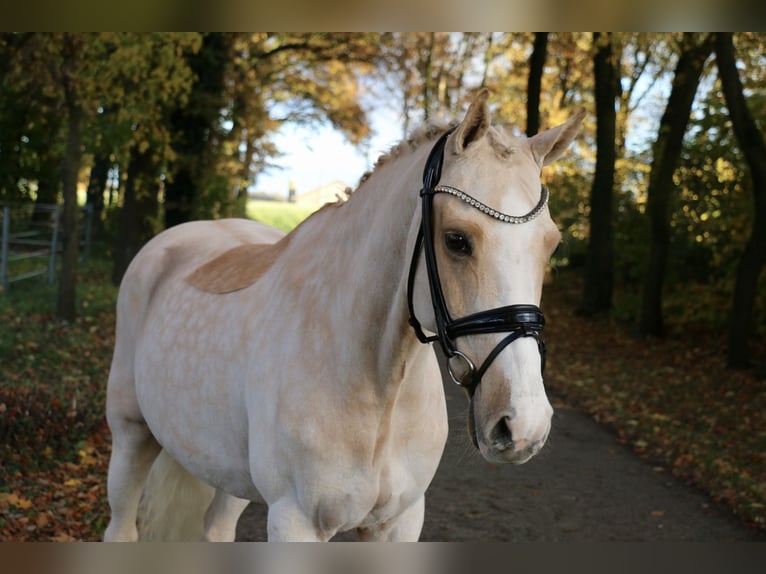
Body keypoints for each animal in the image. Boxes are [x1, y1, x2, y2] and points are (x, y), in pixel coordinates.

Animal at [100, 90, 584, 544]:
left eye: (552, 245)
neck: (377, 385)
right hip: (131, 435)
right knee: (120, 527)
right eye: (457, 240)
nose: (522, 424)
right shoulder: (295, 521)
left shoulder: (399, 522)